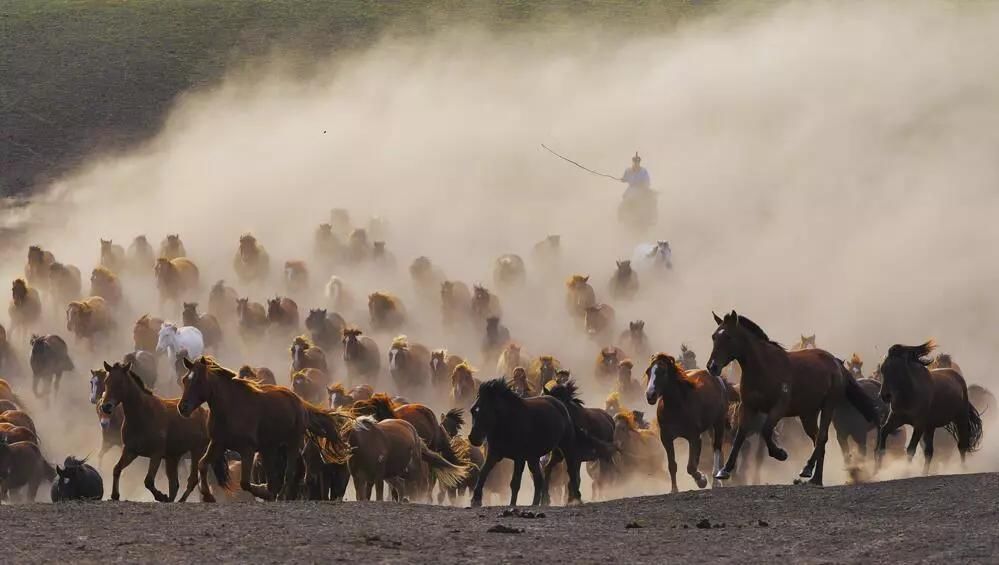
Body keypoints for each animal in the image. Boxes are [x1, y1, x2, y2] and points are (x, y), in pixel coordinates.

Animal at [180, 354, 352, 500]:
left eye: (199, 381)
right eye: (184, 380)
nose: (183, 408)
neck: (231, 408)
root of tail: (300, 402)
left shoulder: (247, 449)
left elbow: (245, 483)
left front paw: (262, 491)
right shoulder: (218, 443)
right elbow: (202, 464)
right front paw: (207, 495)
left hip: (292, 442)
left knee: (289, 473)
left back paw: (280, 495)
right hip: (269, 448)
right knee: (274, 476)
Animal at [470, 378, 584, 506]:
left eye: (486, 412)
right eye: (473, 410)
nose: (473, 438)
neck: (507, 423)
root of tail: (559, 403)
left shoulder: (519, 458)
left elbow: (515, 483)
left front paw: (512, 504)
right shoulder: (494, 454)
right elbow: (483, 473)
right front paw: (475, 500)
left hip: (565, 447)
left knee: (571, 470)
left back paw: (576, 499)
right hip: (534, 457)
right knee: (539, 479)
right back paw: (537, 503)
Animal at [644, 354, 732, 492]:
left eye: (662, 372)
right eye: (648, 371)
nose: (650, 395)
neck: (677, 407)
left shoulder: (693, 436)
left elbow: (691, 466)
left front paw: (701, 480)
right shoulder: (666, 437)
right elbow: (672, 465)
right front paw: (674, 489)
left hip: (718, 422)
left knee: (717, 447)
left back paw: (716, 481)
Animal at [708, 308, 880, 484]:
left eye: (728, 337)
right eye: (714, 336)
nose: (712, 366)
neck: (764, 368)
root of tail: (835, 362)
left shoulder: (779, 407)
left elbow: (766, 430)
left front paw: (780, 453)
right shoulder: (748, 407)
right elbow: (740, 436)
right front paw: (724, 470)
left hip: (828, 406)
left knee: (822, 437)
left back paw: (808, 469)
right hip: (808, 414)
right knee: (817, 439)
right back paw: (815, 479)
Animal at [876, 342, 984, 474]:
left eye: (896, 369)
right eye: (883, 369)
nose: (884, 396)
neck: (910, 394)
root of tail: (958, 377)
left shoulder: (919, 424)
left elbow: (911, 449)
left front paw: (905, 471)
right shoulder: (896, 419)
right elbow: (883, 432)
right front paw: (879, 468)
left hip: (960, 419)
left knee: (961, 445)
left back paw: (962, 469)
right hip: (930, 427)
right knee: (929, 451)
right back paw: (925, 472)